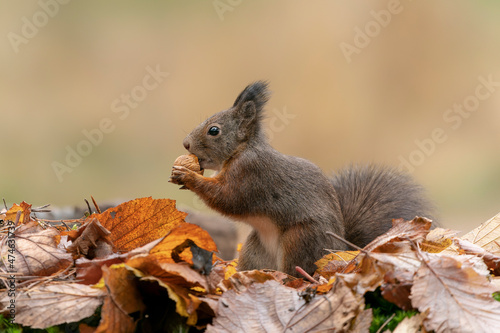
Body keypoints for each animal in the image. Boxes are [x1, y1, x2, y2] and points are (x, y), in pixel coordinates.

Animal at [170, 81, 432, 276]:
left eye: (214, 130)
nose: (185, 144)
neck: (241, 150)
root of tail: (340, 251)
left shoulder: (252, 174)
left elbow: (228, 198)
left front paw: (187, 176)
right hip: (254, 249)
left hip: (300, 239)